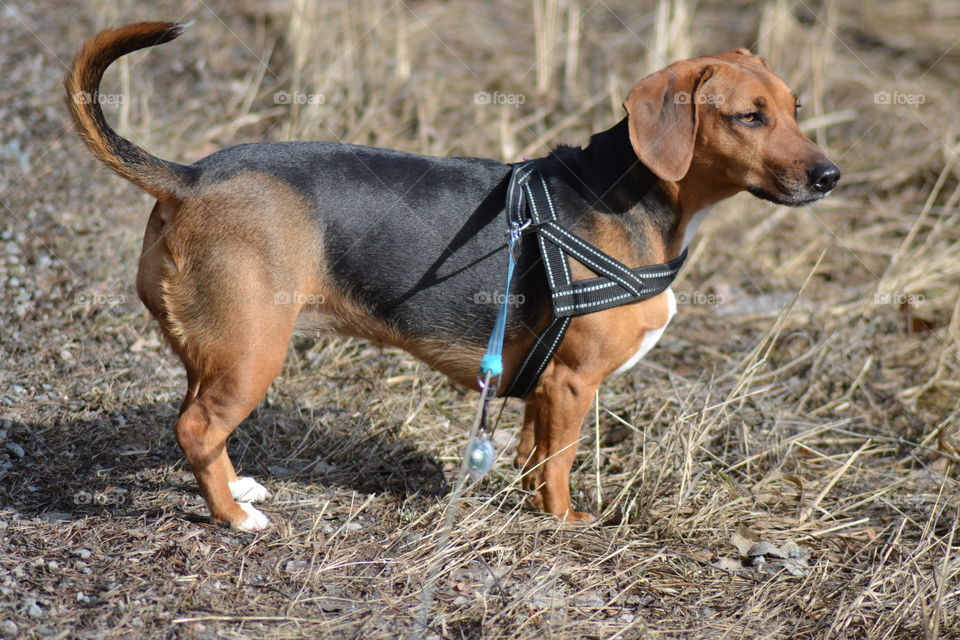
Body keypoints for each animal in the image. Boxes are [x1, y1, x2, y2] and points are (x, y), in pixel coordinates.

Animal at [63, 21, 840, 528]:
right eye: (749, 117)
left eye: (796, 109)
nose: (831, 176)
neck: (625, 197)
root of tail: (191, 178)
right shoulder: (573, 383)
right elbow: (559, 465)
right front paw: (564, 523)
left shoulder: (544, 388)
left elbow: (533, 455)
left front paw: (531, 501)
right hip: (253, 351)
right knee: (196, 429)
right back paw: (232, 518)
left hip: (219, 349)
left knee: (199, 424)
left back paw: (237, 491)